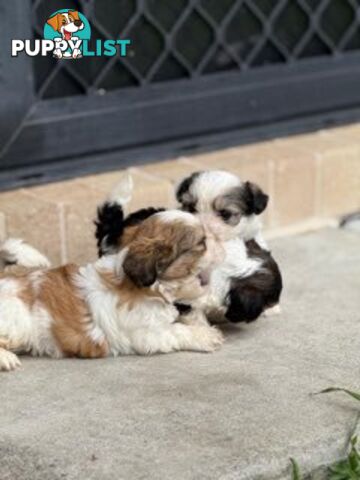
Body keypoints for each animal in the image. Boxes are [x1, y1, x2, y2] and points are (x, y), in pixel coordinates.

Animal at [0, 210, 225, 372]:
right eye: (202, 243)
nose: (221, 241)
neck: (153, 289)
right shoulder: (147, 334)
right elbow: (176, 330)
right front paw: (205, 335)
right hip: (18, 322)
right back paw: (6, 358)